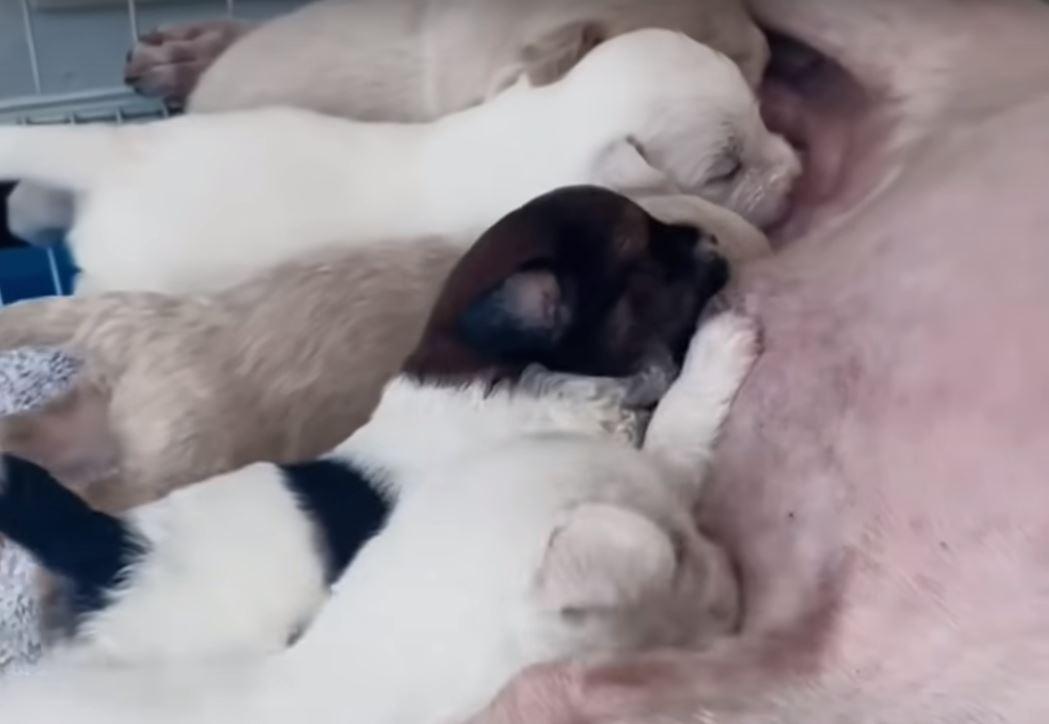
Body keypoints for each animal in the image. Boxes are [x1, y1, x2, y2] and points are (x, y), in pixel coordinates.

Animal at [0, 184, 755, 721]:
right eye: (646, 255)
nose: (713, 236)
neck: (479, 366)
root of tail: (102, 548)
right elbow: (675, 428)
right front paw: (716, 349)